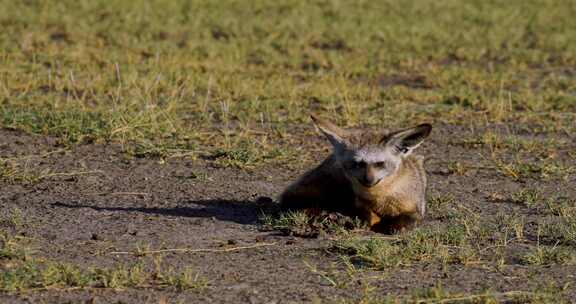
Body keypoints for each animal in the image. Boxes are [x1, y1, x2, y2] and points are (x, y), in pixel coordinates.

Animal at [280, 115, 432, 234]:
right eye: (358, 163)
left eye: (380, 164)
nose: (368, 179)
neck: (379, 199)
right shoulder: (359, 204)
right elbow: (368, 215)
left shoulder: (416, 208)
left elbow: (407, 219)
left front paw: (394, 226)